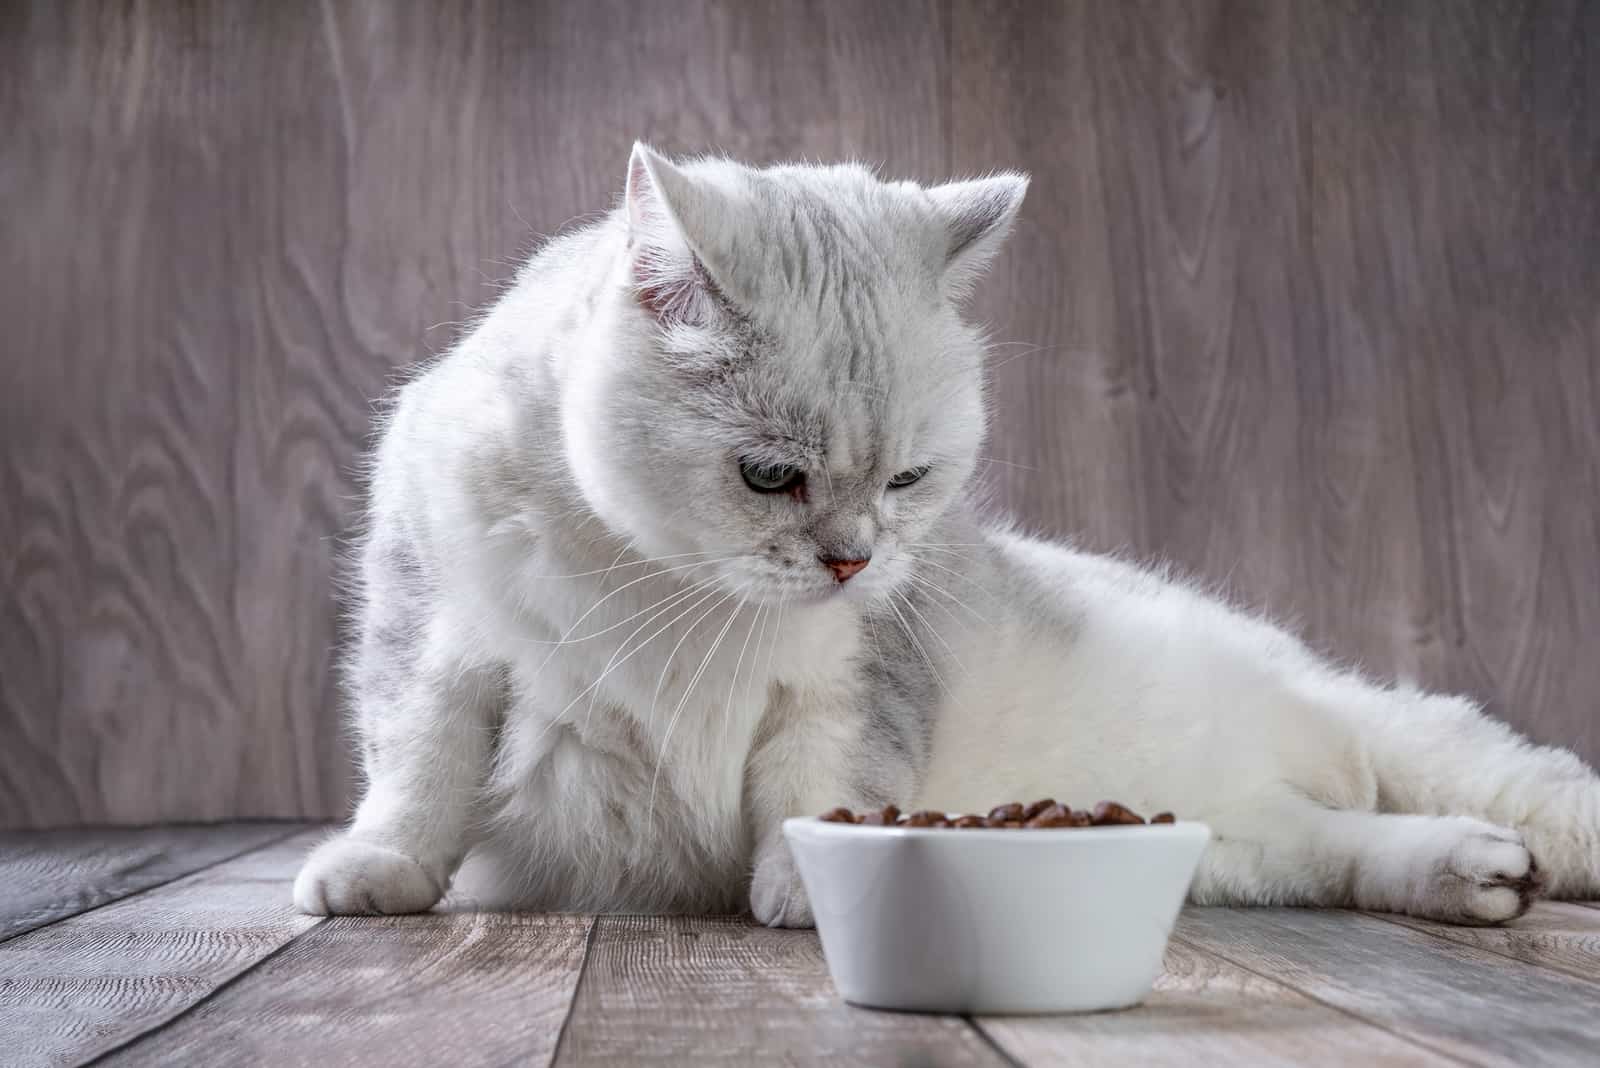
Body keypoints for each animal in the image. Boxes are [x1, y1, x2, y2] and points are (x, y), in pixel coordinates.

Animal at [297, 141, 1600, 927]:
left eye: (909, 479)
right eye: (771, 477)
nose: (854, 560)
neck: (673, 586)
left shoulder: (851, 686)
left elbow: (818, 795)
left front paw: (802, 890)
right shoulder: (435, 647)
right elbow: (417, 774)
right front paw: (377, 874)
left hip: (1353, 732)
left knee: (1458, 788)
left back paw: (1506, 862)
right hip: (1244, 847)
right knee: (1345, 843)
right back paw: (1481, 875)